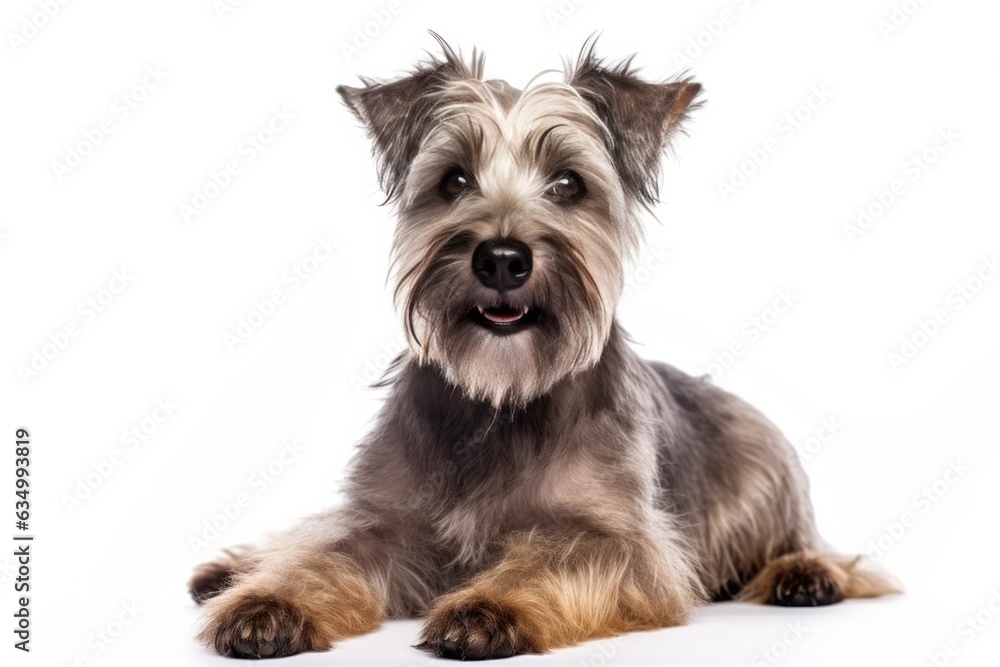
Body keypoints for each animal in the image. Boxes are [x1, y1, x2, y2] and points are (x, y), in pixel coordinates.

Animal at [189, 37, 900, 664]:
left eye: (567, 184)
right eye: (453, 180)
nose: (502, 258)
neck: (501, 397)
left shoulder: (620, 543)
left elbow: (550, 557)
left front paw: (489, 608)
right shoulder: (379, 520)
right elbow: (320, 552)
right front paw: (266, 601)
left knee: (813, 547)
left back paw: (804, 574)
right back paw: (232, 570)